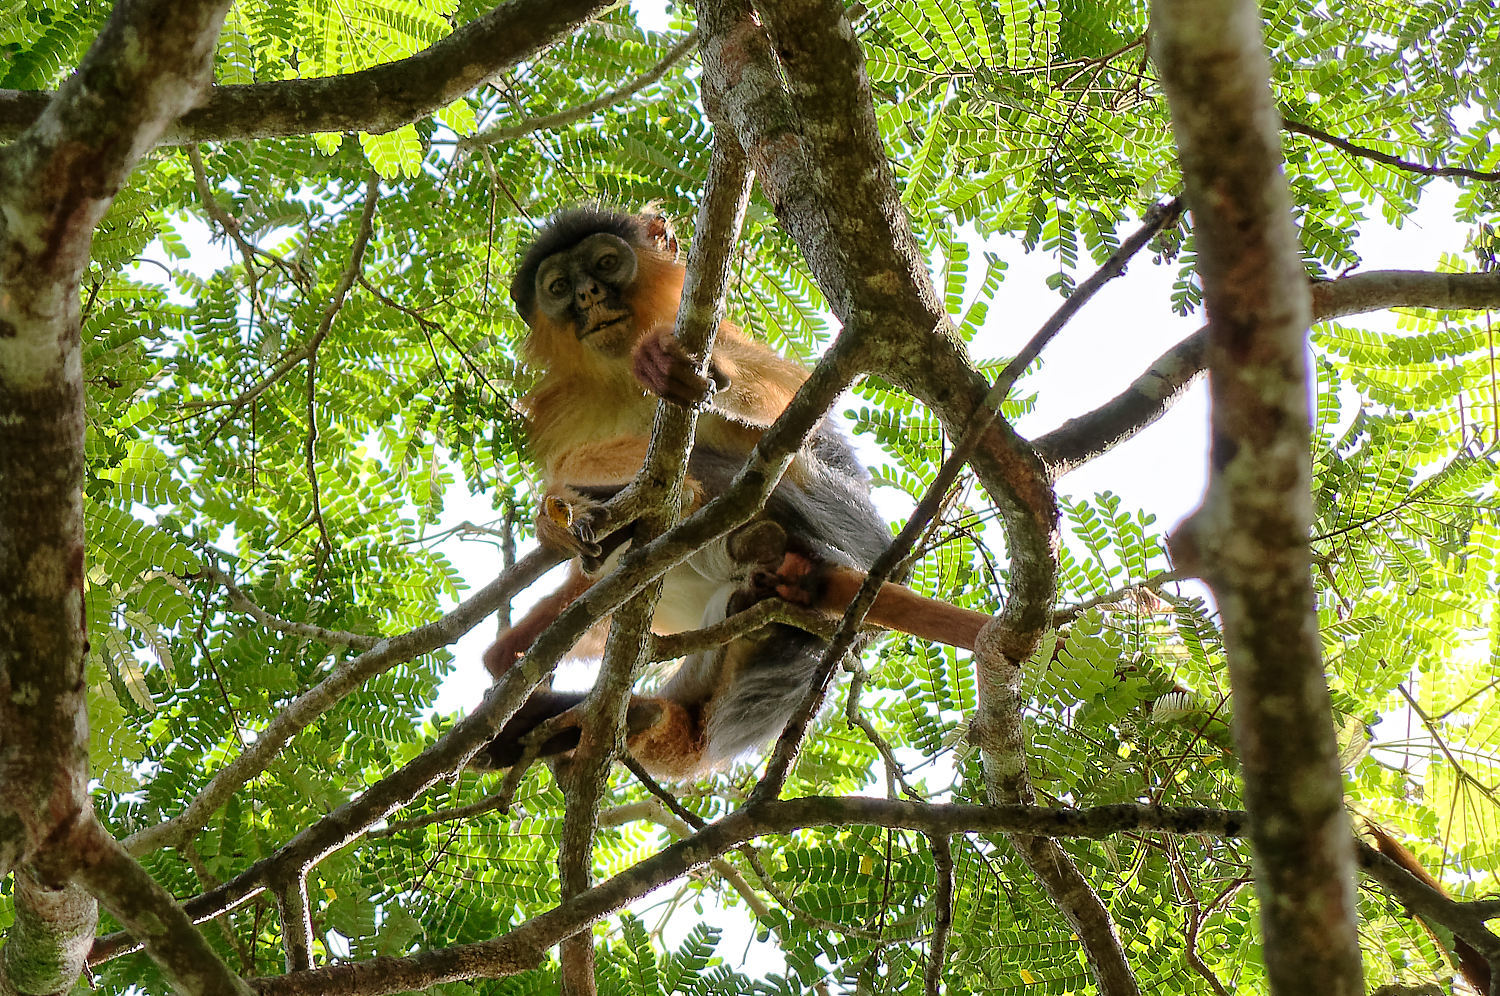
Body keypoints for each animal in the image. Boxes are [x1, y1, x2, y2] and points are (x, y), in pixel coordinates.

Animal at [474, 205, 990, 780]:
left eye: (606, 263)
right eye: (560, 287)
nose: (588, 295)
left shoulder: (725, 344)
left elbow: (793, 421)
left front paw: (666, 366)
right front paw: (555, 523)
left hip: (833, 530)